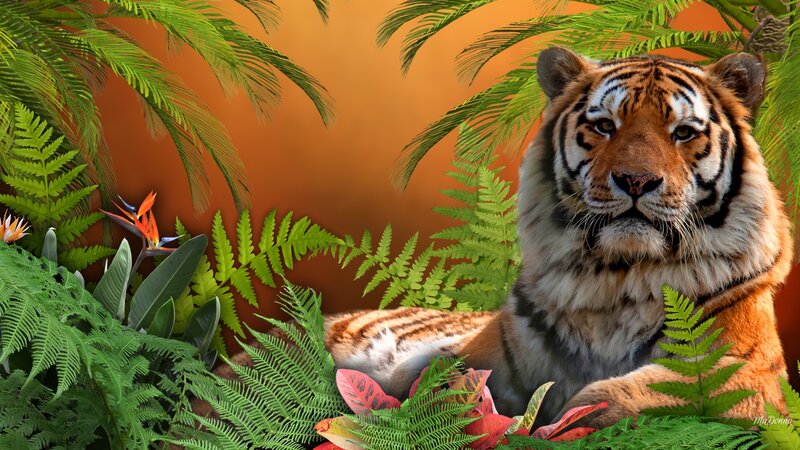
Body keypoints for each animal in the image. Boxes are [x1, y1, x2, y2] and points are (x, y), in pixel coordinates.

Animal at [221, 47, 794, 428]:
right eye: (604, 126)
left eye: (684, 133)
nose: (634, 181)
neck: (617, 277)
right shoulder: (488, 355)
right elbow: (450, 382)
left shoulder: (753, 374)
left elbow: (667, 387)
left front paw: (580, 411)